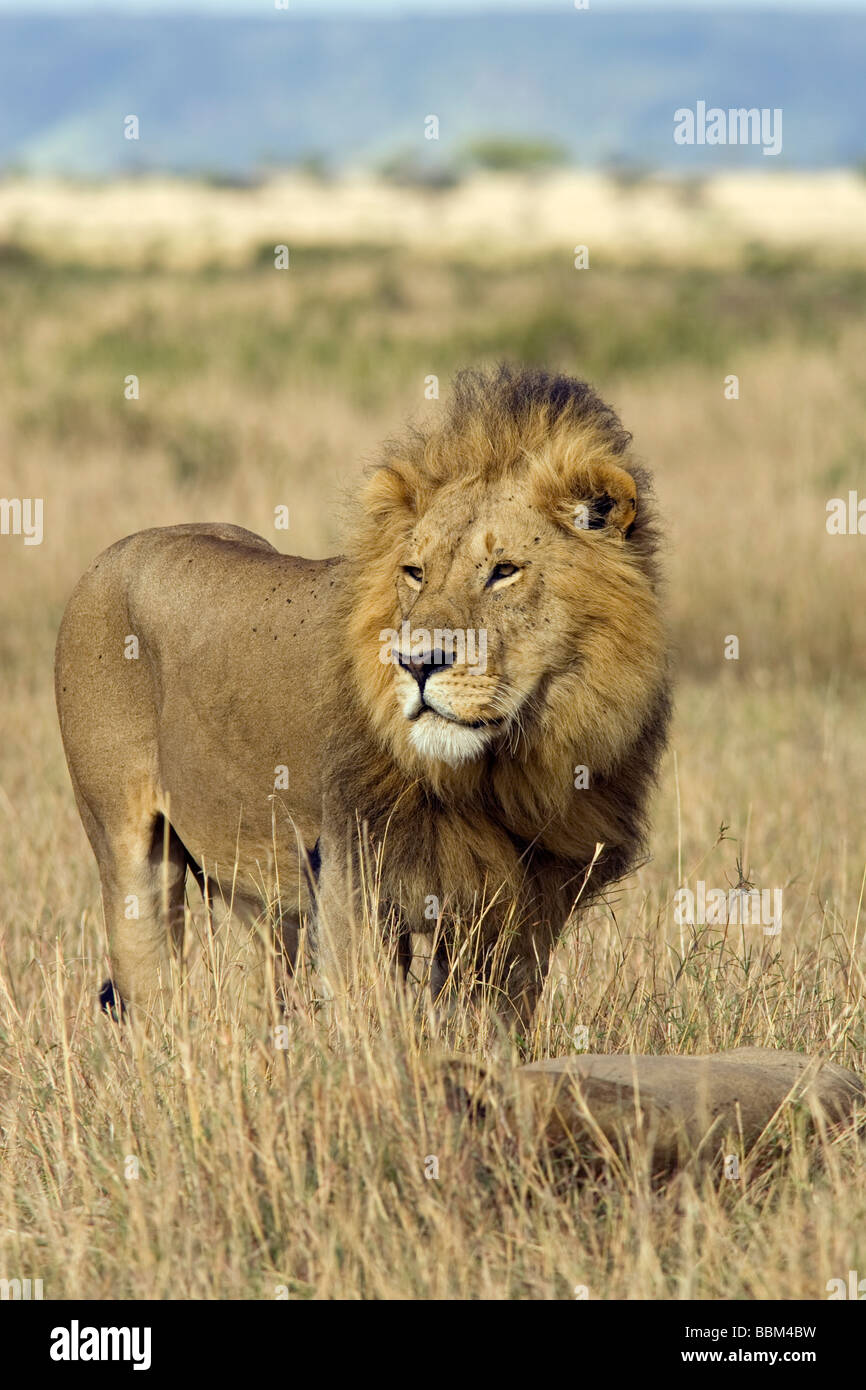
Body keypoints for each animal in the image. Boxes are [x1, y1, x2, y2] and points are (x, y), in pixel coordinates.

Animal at [55, 366, 672, 1025]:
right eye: (415, 572)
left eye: (504, 570)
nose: (417, 662)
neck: (502, 772)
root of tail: (110, 554)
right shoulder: (351, 877)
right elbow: (371, 1018)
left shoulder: (522, 904)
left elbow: (494, 1021)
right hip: (127, 847)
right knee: (149, 988)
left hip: (252, 887)